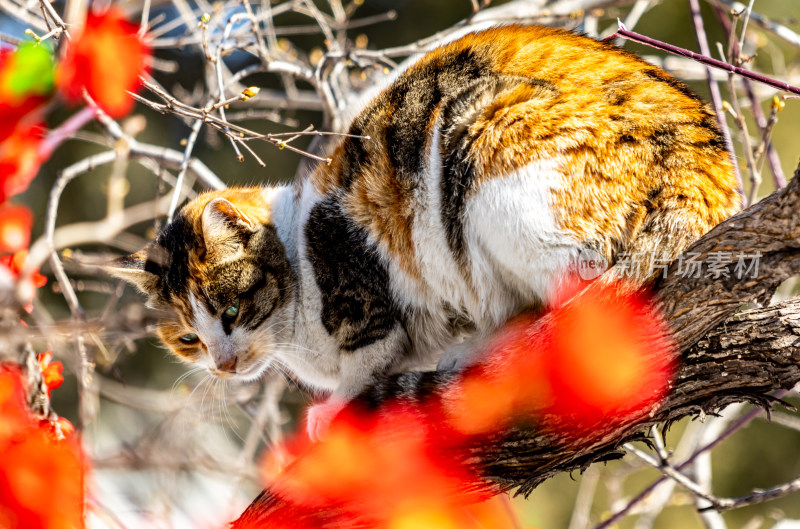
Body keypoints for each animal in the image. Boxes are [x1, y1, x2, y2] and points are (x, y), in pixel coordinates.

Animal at [109, 23, 740, 438]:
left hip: (486, 148)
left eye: (232, 311)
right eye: (188, 340)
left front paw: (333, 407)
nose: (223, 364)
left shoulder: (363, 298)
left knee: (576, 304)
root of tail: (701, 160)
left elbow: (367, 358)